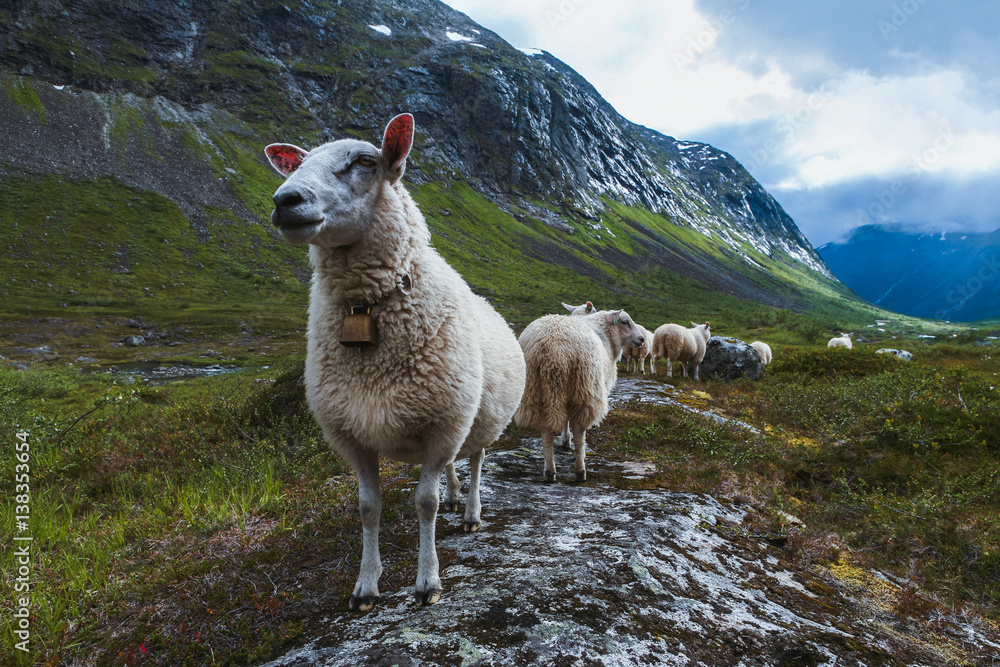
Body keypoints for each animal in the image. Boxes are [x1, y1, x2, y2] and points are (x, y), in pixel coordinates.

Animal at [265, 113, 526, 611]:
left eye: (366, 162)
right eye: (299, 163)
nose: (285, 200)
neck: (366, 307)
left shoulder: (442, 423)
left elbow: (425, 504)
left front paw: (428, 582)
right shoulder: (351, 435)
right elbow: (369, 508)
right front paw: (366, 585)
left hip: (479, 419)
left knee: (477, 459)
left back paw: (470, 510)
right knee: (454, 466)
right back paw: (455, 494)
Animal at [515, 310, 645, 482]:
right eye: (625, 321)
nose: (642, 339)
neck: (606, 337)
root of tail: (555, 349)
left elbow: (564, 420)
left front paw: (564, 440)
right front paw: (567, 442)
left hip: (535, 389)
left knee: (546, 431)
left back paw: (549, 471)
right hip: (584, 387)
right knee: (579, 430)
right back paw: (580, 470)